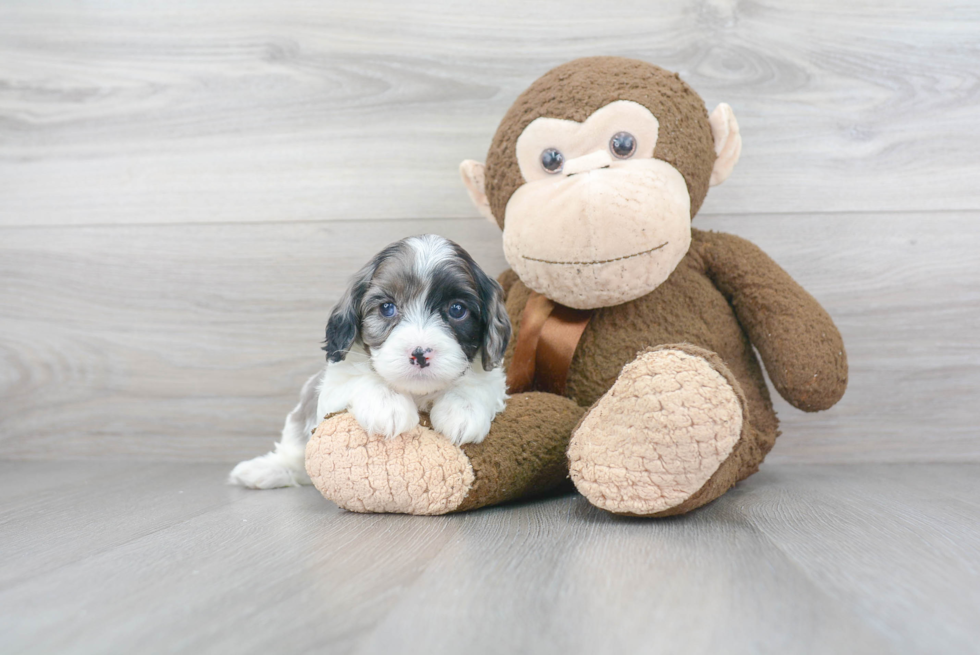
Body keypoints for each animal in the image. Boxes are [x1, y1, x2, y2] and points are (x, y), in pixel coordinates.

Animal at [226, 234, 510, 486]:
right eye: (387, 308)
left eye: (457, 309)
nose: (419, 353)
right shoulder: (333, 384)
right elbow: (362, 378)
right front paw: (388, 404)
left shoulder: (494, 379)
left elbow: (478, 384)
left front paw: (463, 410)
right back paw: (266, 470)